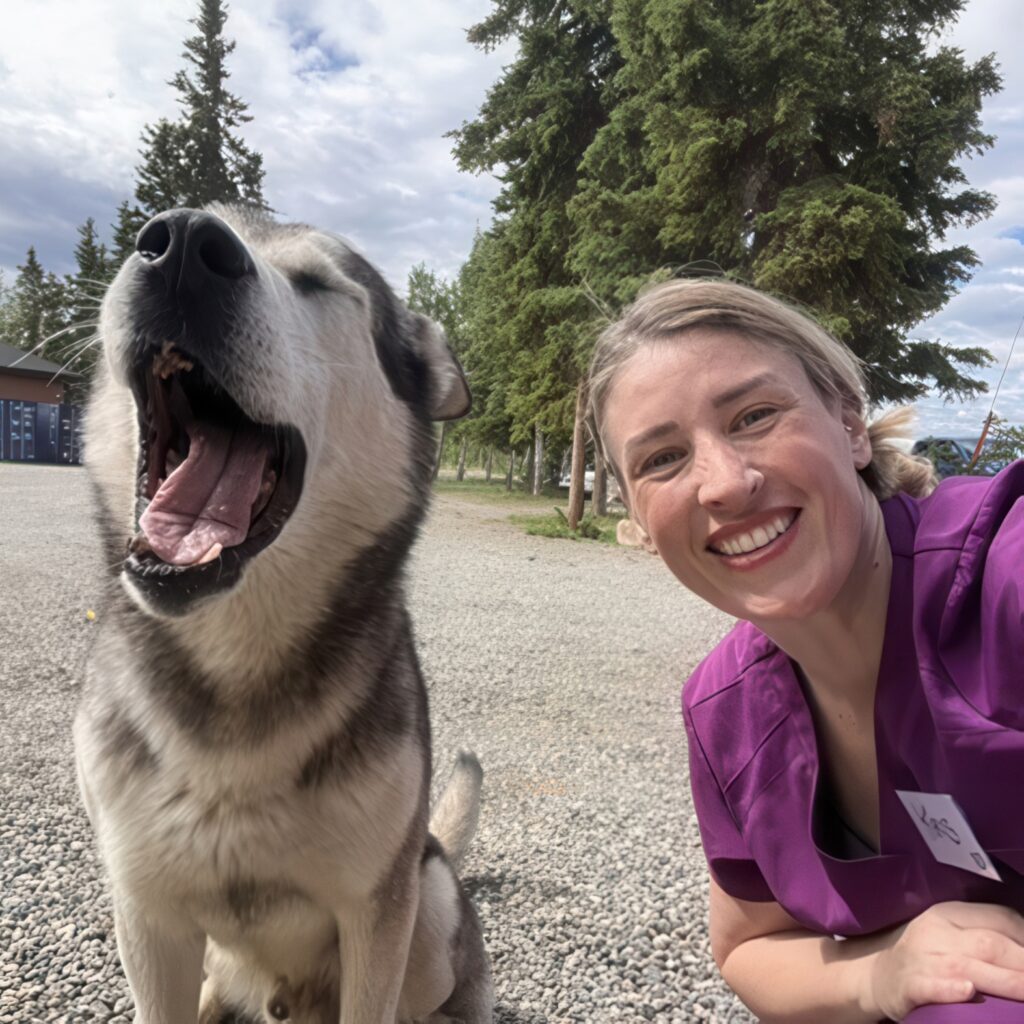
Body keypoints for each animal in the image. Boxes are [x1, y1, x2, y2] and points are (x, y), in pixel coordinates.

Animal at [74, 207, 493, 1024]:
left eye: (316, 283)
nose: (180, 243)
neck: (236, 656)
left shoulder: (375, 911)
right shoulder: (145, 911)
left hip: (425, 902)